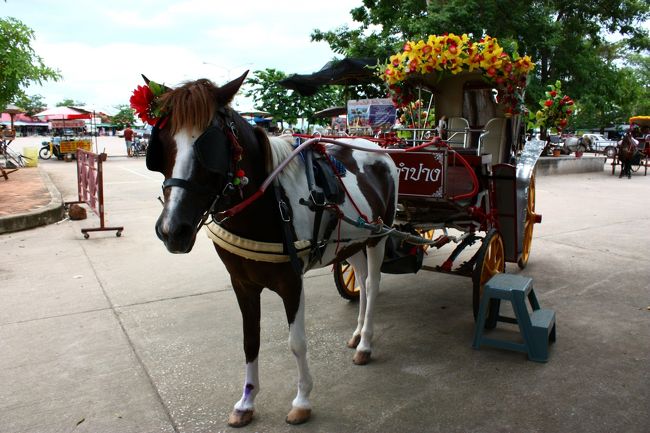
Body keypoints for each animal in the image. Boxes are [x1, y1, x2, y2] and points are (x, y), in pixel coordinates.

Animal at [145, 73, 398, 426]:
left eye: (210, 146)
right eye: (164, 142)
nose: (172, 230)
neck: (270, 204)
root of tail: (379, 149)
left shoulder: (292, 282)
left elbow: (297, 343)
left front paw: (302, 399)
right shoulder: (242, 283)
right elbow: (250, 340)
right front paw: (246, 402)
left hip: (378, 237)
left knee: (372, 286)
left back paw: (366, 344)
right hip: (352, 243)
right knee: (360, 281)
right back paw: (358, 334)